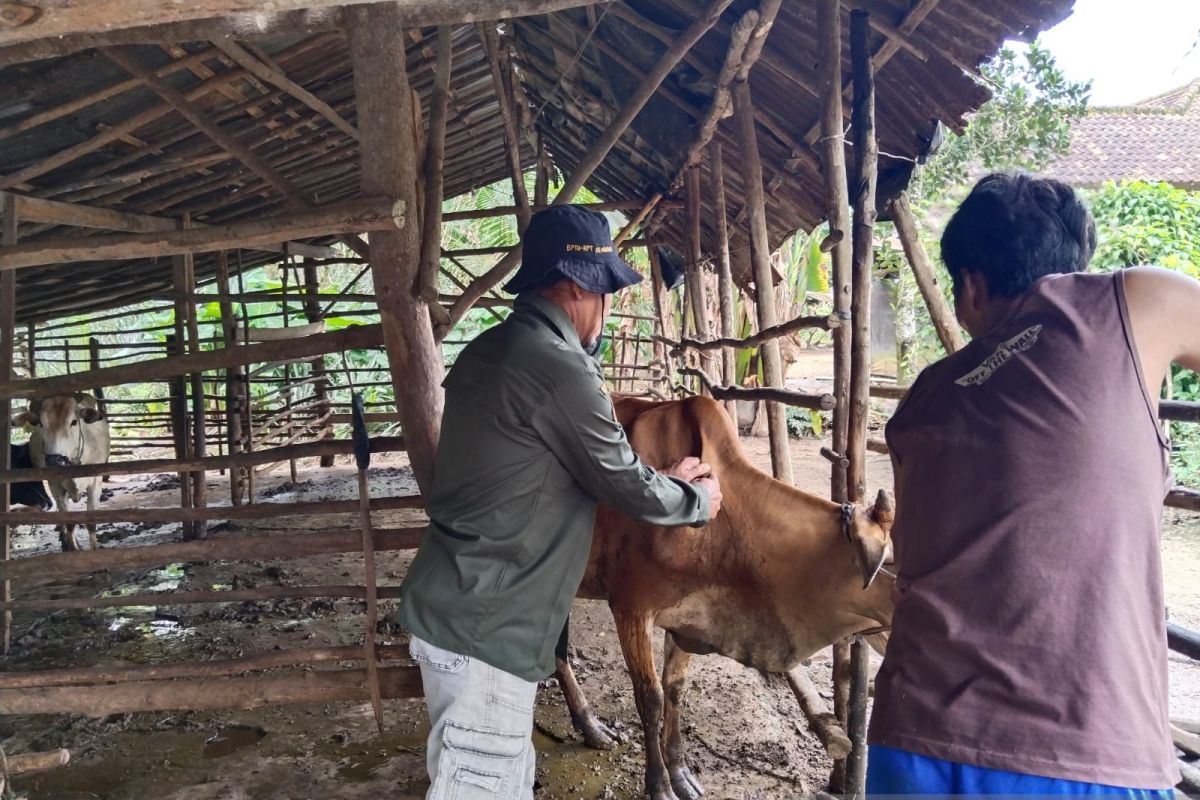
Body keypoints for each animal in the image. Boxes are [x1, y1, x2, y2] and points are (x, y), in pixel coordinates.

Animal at [17, 393, 111, 551]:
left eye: (74, 422)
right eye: (41, 424)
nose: (54, 459)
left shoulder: (95, 482)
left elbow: (91, 523)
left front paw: (94, 549)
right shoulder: (54, 484)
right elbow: (68, 521)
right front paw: (72, 548)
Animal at [554, 395, 892, 800]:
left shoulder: (688, 616)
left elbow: (674, 687)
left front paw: (680, 773)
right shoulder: (631, 607)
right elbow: (650, 698)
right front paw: (659, 785)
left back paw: (588, 724)